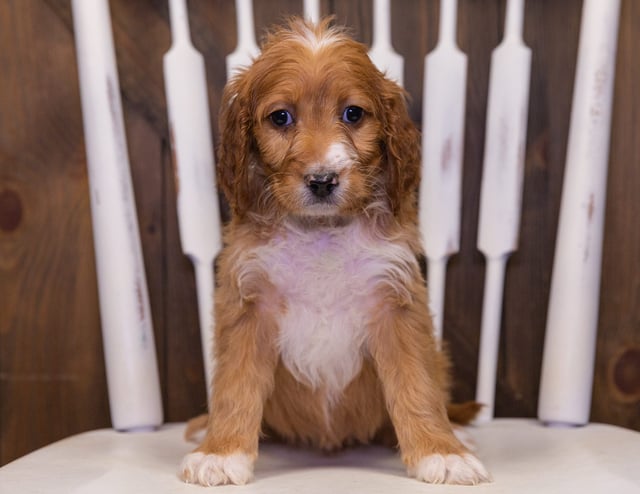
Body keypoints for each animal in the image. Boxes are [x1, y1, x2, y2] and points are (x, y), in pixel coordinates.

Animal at [180, 16, 490, 486]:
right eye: (281, 117)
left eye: (353, 114)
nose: (323, 180)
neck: (322, 232)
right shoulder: (248, 304)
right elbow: (234, 385)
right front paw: (220, 451)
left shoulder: (396, 302)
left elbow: (418, 385)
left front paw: (443, 451)